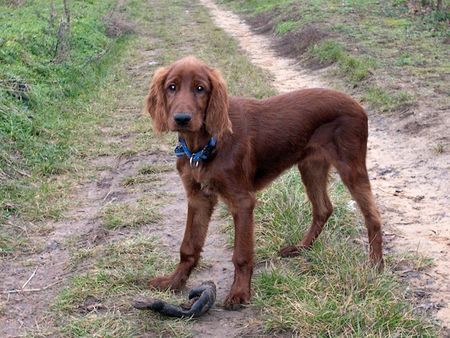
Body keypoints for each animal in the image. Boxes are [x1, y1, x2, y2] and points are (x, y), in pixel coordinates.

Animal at [145, 55, 384, 308]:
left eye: (200, 88)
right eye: (172, 87)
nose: (182, 119)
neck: (203, 146)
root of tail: (358, 105)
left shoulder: (242, 201)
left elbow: (241, 254)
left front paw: (240, 293)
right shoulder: (198, 197)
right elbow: (188, 246)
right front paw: (173, 282)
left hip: (351, 166)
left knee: (372, 215)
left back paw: (375, 266)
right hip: (311, 166)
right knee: (323, 208)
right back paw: (300, 248)